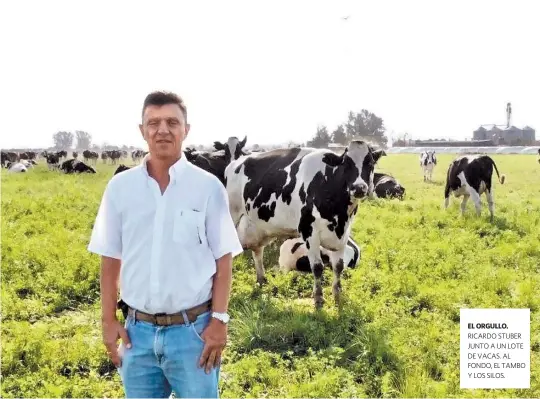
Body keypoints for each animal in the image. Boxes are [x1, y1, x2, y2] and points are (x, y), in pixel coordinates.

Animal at [224, 141, 384, 310]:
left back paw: (261, 280)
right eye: (346, 163)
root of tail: (235, 162)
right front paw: (319, 299)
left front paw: (337, 296)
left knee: (257, 251)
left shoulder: (344, 233)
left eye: (370, 163)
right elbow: (318, 267)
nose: (359, 188)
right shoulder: (309, 231)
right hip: (232, 215)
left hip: (258, 226)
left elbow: (338, 266)